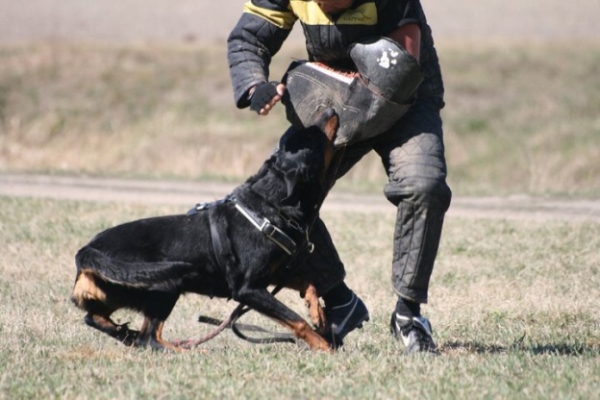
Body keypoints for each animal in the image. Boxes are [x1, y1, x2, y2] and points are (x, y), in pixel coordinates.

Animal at [70, 109, 340, 350]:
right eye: (313, 137)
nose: (330, 110)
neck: (269, 207)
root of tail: (87, 250)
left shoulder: (272, 274)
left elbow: (308, 283)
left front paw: (317, 313)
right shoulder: (248, 288)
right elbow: (296, 319)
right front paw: (324, 346)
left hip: (121, 289)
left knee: (95, 317)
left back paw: (125, 333)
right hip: (163, 286)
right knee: (149, 339)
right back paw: (185, 349)